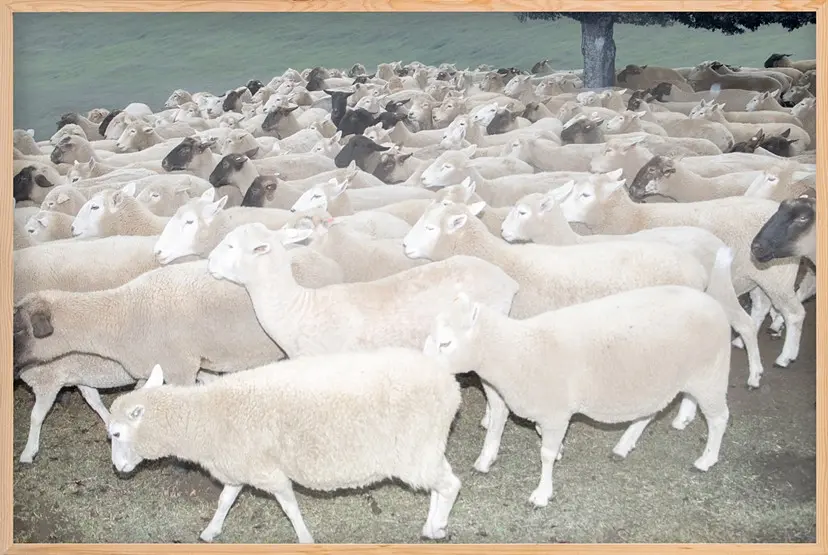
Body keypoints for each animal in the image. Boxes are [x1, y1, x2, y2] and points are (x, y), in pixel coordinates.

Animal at [107, 354, 462, 543]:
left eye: (116, 433)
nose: (118, 469)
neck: (206, 416)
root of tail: (451, 383)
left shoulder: (268, 472)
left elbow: (290, 507)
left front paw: (305, 539)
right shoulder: (240, 466)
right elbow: (224, 501)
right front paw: (210, 531)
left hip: (414, 451)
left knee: (451, 485)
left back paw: (436, 528)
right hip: (426, 446)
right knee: (441, 484)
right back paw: (432, 526)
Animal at [422, 284, 731, 507]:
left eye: (446, 343)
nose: (422, 369)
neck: (517, 349)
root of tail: (713, 303)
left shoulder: (555, 412)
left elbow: (545, 454)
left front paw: (542, 493)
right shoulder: (534, 408)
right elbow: (514, 432)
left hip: (709, 376)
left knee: (719, 418)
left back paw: (706, 460)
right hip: (660, 379)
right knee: (650, 411)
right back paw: (625, 445)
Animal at [556, 175, 805, 368]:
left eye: (585, 195)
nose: (558, 208)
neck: (632, 218)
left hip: (779, 277)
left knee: (794, 314)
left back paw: (786, 356)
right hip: (761, 274)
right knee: (762, 306)